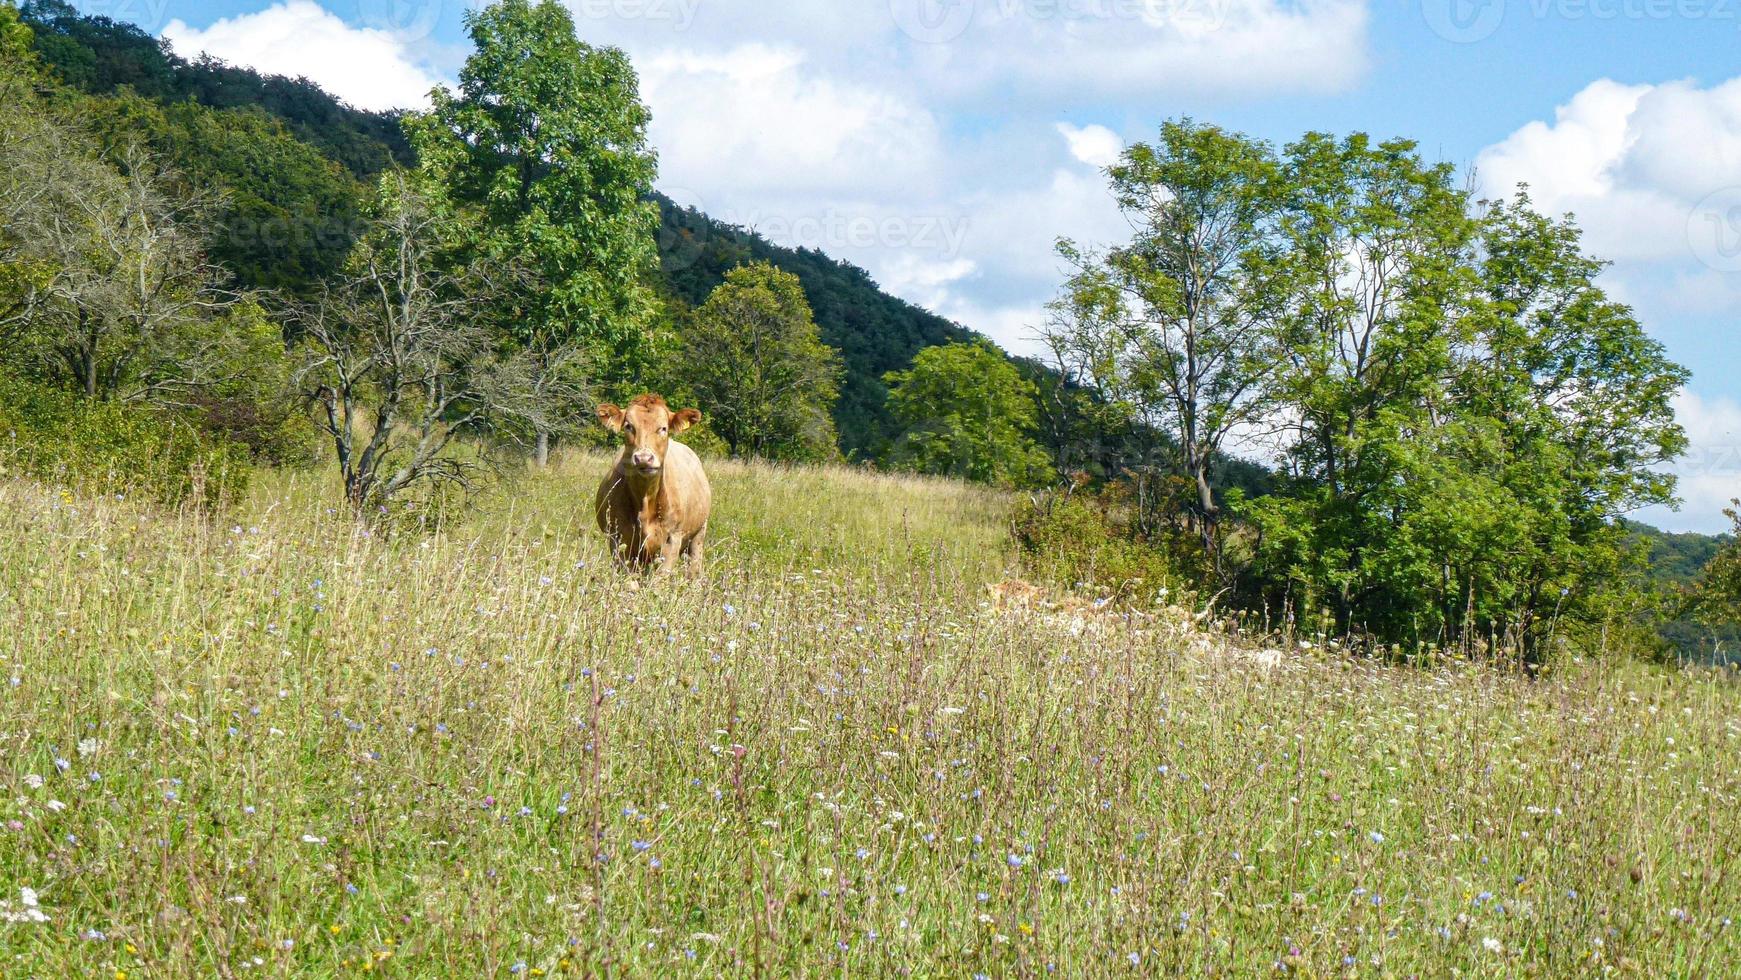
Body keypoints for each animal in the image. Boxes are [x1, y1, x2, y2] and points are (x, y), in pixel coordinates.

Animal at [595, 393, 710, 574]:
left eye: (663, 428)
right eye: (628, 426)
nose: (643, 458)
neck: (645, 500)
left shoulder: (672, 539)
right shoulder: (617, 539)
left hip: (698, 535)